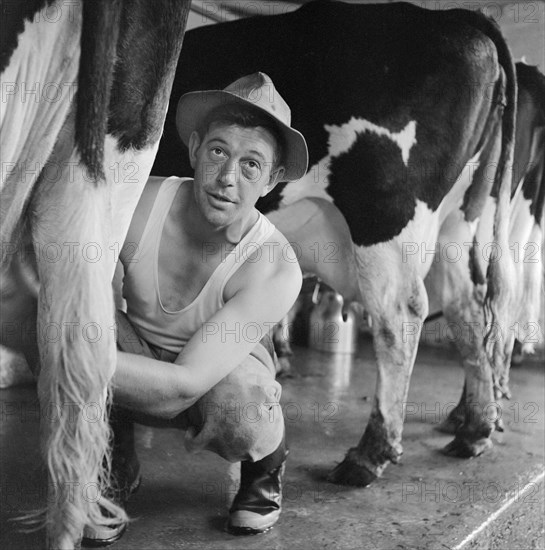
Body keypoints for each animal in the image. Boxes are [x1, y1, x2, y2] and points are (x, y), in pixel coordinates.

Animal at [152, 2, 516, 490]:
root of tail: (455, 17)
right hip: (462, 219)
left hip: (384, 216)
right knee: (469, 308)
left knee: (401, 317)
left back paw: (369, 456)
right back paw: (475, 430)